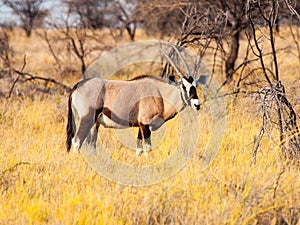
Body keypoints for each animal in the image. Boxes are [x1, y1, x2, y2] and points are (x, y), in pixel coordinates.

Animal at [66, 46, 205, 155]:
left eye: (195, 86)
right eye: (183, 86)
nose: (197, 104)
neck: (160, 93)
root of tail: (77, 86)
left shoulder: (141, 126)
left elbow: (139, 149)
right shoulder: (145, 124)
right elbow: (148, 148)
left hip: (95, 123)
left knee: (90, 145)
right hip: (86, 119)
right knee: (77, 141)